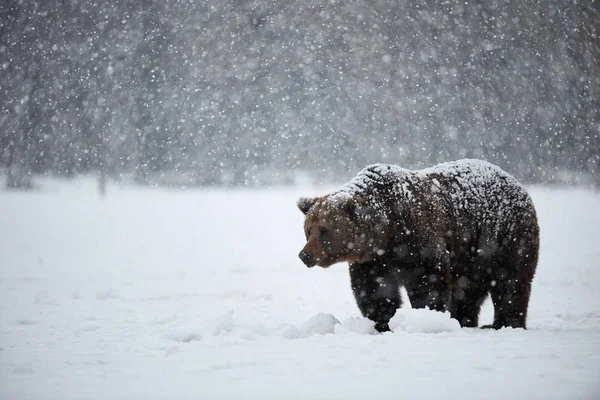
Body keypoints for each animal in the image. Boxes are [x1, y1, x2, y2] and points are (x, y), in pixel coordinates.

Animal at [298, 159, 540, 332]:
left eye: (325, 230)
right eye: (308, 230)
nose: (304, 255)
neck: (385, 232)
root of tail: (518, 185)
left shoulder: (417, 237)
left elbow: (428, 280)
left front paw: (426, 316)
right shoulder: (373, 260)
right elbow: (375, 290)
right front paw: (382, 321)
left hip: (504, 238)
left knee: (511, 283)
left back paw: (504, 323)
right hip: (472, 257)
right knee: (467, 291)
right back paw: (464, 320)